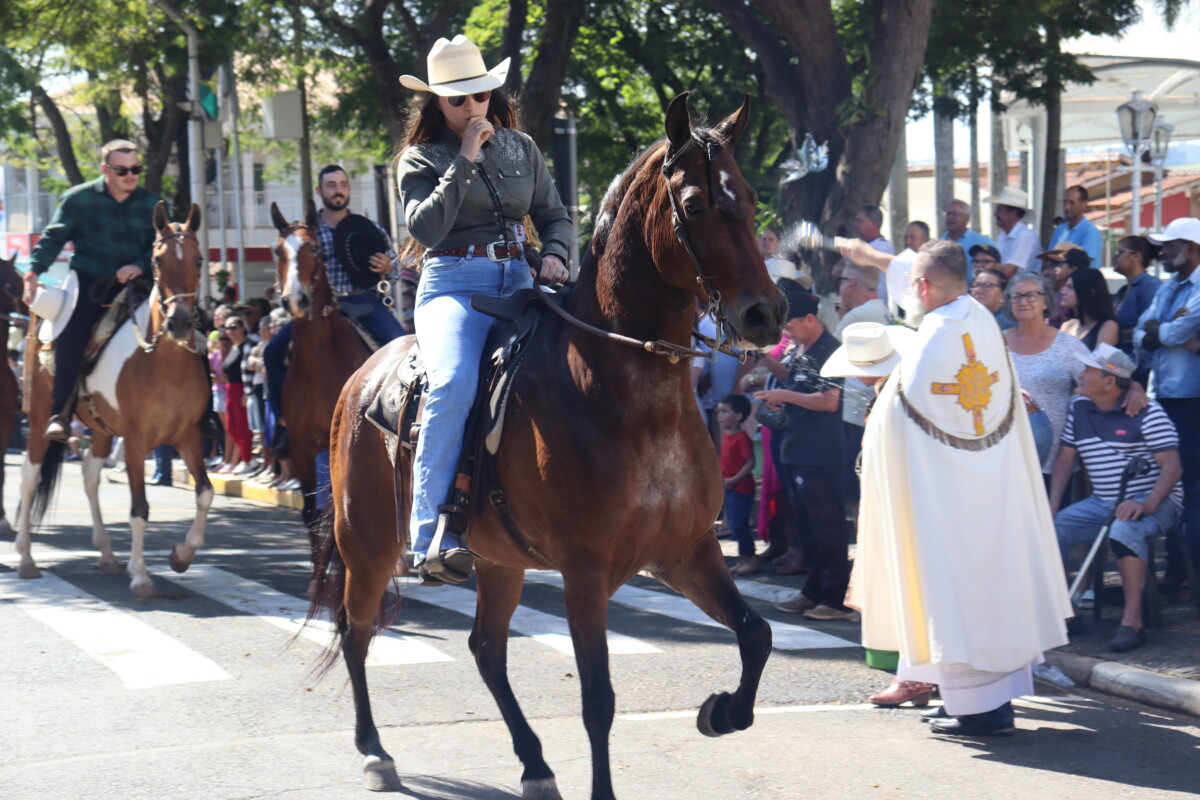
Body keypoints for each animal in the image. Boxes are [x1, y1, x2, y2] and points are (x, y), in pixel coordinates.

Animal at [15, 203, 215, 596]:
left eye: (199, 259)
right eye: (157, 260)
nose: (181, 322)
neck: (163, 363)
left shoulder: (189, 437)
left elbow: (204, 493)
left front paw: (181, 555)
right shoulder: (137, 443)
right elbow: (139, 507)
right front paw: (140, 576)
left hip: (101, 429)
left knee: (90, 477)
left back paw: (107, 554)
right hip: (41, 417)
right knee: (30, 478)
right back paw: (26, 557)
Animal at [269, 200, 373, 536]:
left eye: (315, 248)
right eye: (277, 250)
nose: (295, 300)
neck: (318, 365)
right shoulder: (303, 449)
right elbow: (312, 516)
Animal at [309, 93, 786, 797]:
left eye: (750, 197)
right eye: (695, 203)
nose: (766, 314)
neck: (628, 393)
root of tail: (361, 374)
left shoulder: (687, 552)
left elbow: (757, 634)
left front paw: (722, 711)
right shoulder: (585, 573)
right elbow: (598, 699)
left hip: (496, 559)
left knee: (485, 649)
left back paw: (534, 764)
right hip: (367, 542)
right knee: (357, 629)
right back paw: (373, 751)